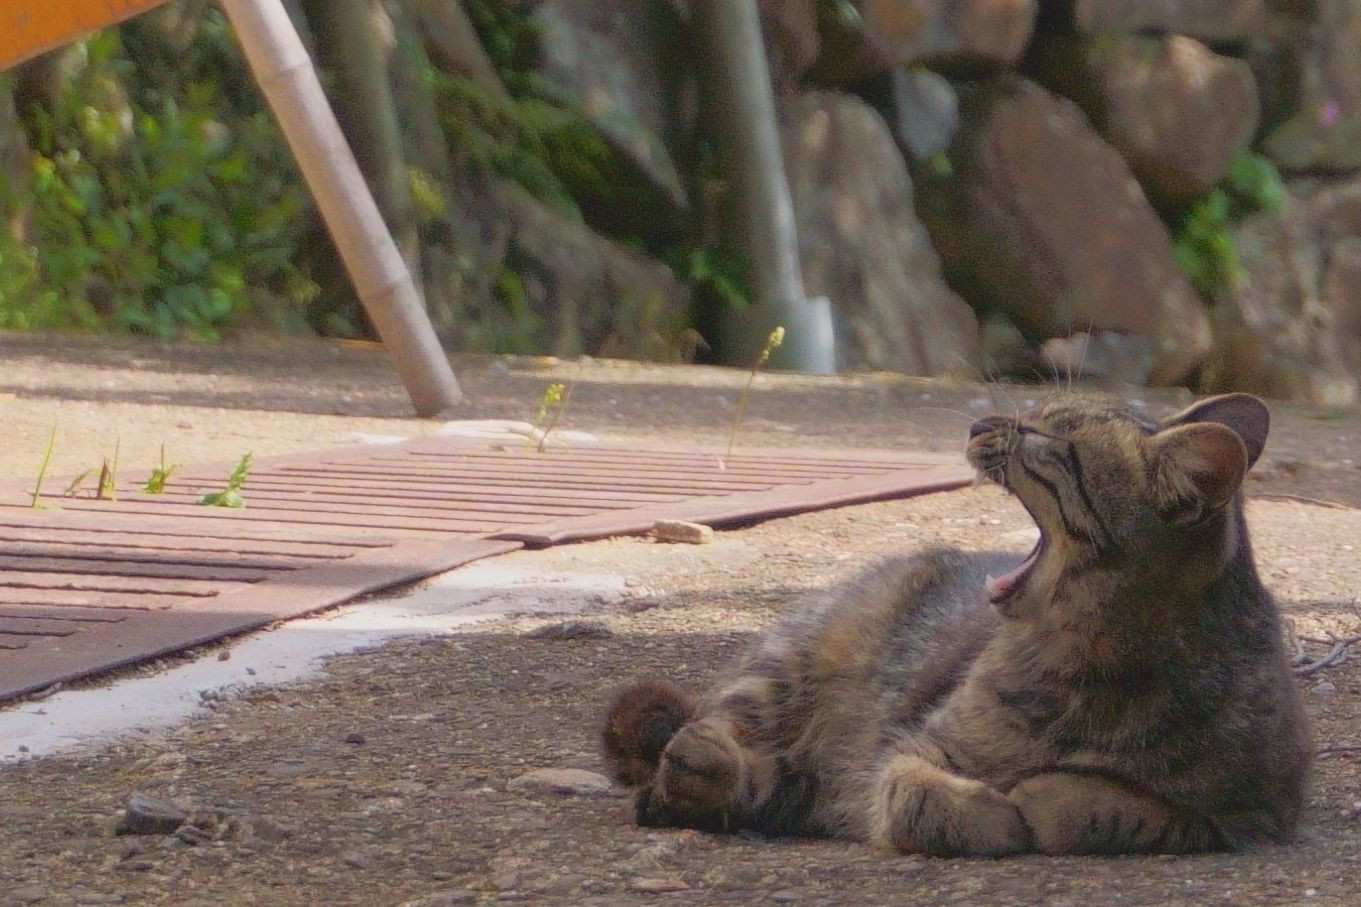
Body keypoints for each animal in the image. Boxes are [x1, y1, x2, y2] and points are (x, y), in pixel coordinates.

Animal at [601, 393, 1310, 856]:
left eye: (1049, 440)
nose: (978, 422)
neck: (1097, 663)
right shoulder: (911, 750)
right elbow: (919, 799)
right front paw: (994, 810)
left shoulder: (1246, 813)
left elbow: (1118, 806)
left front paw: (1047, 797)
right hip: (783, 677)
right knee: (698, 746)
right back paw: (698, 764)